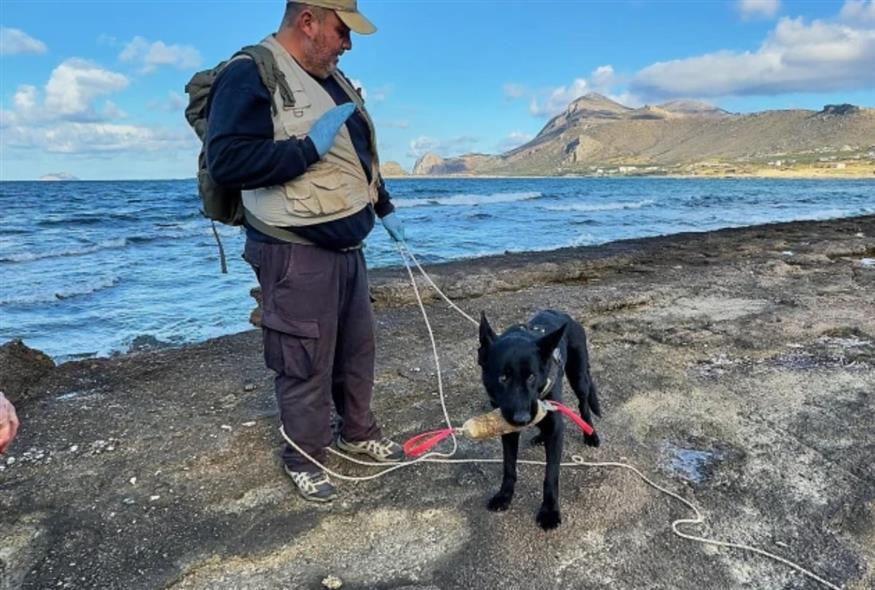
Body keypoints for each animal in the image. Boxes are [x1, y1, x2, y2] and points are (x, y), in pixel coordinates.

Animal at [480, 310, 604, 532]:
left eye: (531, 377)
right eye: (503, 378)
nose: (521, 418)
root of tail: (566, 316)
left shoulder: (555, 428)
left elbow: (551, 476)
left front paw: (549, 511)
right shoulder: (508, 428)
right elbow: (509, 467)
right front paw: (505, 495)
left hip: (579, 377)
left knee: (583, 404)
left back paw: (590, 433)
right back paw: (540, 436)